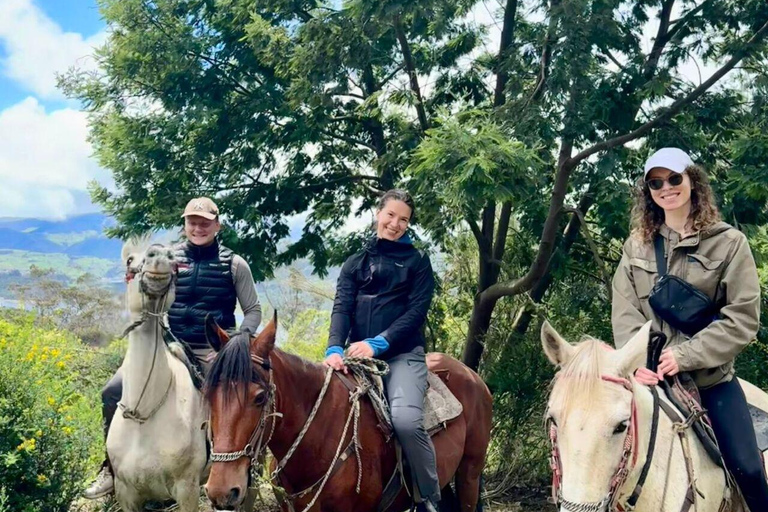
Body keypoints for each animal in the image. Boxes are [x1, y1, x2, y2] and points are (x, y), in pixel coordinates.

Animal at [107, 243, 210, 512]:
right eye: (130, 260)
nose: (160, 256)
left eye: (175, 263)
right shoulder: (126, 493)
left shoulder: (187, 490)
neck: (144, 415)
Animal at [204, 316, 492, 512]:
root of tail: (472, 376)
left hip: (470, 472)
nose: (221, 490)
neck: (316, 440)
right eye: (208, 395)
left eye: (260, 397)